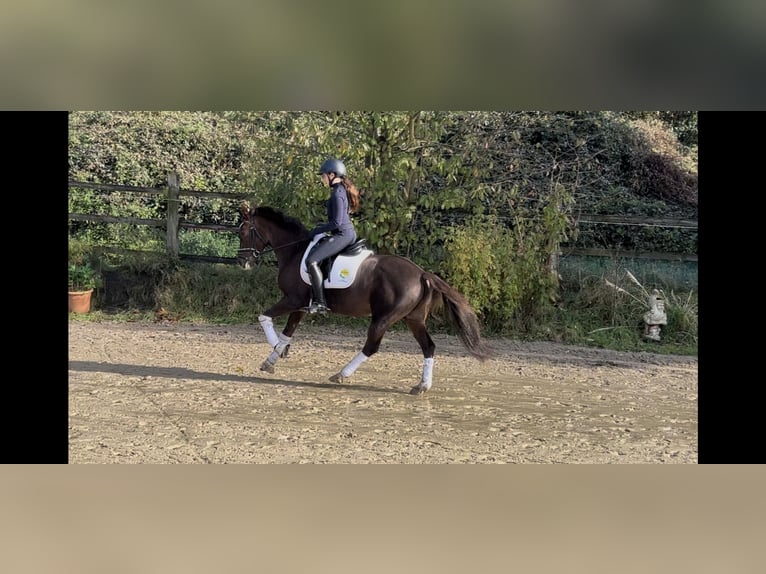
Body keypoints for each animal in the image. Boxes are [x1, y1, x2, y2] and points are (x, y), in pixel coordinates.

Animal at [237, 205, 496, 398]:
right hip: (413, 319)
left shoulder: (292, 299)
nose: (243, 263)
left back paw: (341, 374)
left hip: (383, 318)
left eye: (244, 232)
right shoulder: (301, 306)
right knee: (428, 347)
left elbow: (264, 317)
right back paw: (421, 386)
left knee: (371, 347)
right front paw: (272, 359)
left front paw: (276, 350)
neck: (295, 251)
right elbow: (287, 332)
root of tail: (421, 273)